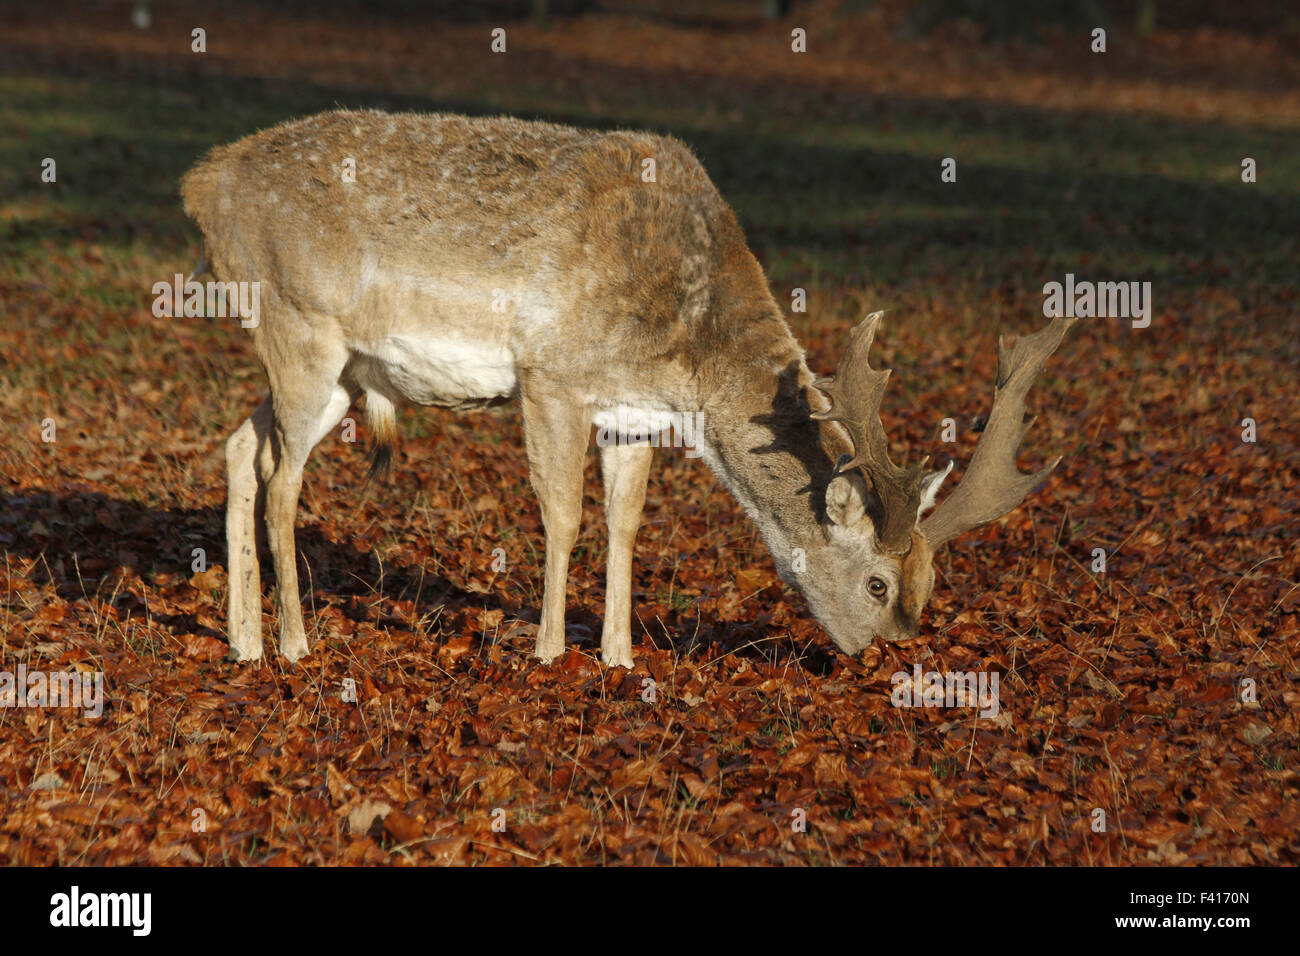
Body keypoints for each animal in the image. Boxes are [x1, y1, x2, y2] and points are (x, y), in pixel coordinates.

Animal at [183, 108, 1076, 671]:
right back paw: (294, 643)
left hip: (338, 369)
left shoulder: (633, 413)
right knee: (282, 477)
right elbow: (563, 514)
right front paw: (549, 650)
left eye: (932, 582)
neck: (689, 354)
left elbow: (625, 523)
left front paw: (617, 654)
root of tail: (200, 184)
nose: (889, 649)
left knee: (239, 445)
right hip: (302, 326)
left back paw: (242, 640)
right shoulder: (551, 374)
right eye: (879, 583)